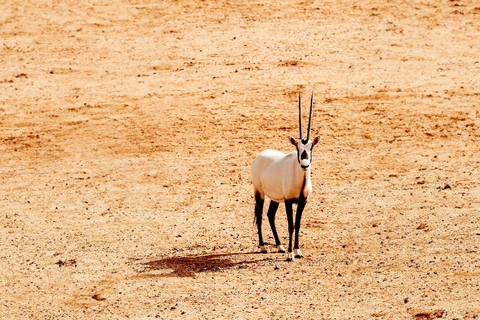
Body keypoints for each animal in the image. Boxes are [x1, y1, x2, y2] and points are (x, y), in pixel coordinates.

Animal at [251, 91, 318, 262]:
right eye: (298, 147)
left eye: (311, 147)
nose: (305, 165)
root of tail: (259, 156)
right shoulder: (288, 201)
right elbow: (290, 225)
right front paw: (290, 254)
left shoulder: (302, 201)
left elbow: (298, 224)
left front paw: (297, 251)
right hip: (259, 193)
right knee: (260, 215)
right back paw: (262, 247)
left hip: (275, 198)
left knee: (270, 215)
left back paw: (279, 246)